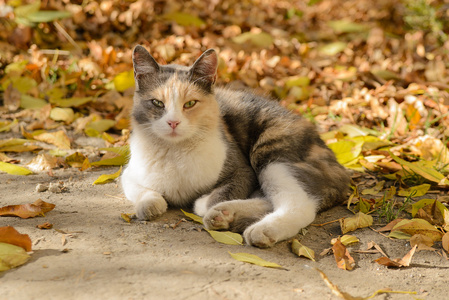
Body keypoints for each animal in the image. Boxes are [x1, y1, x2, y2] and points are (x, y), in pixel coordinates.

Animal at [121, 45, 348, 247]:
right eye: (157, 103)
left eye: (190, 104)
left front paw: (203, 202)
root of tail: (338, 164)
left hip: (273, 155)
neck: (175, 153)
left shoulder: (242, 170)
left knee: (299, 204)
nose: (173, 122)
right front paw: (150, 204)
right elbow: (141, 191)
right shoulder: (128, 172)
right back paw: (226, 215)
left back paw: (260, 229)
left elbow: (219, 194)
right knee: (270, 198)